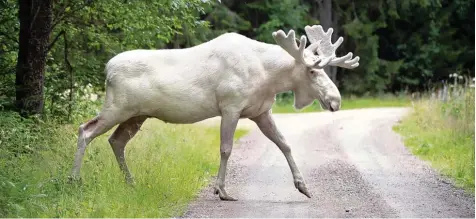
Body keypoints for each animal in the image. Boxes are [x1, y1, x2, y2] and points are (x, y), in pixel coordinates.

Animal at [70, 24, 358, 200]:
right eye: (312, 71)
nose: (335, 100)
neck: (269, 77)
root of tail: (107, 68)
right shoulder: (230, 106)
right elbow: (226, 148)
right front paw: (222, 190)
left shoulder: (261, 111)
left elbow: (285, 144)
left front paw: (303, 186)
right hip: (117, 107)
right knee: (85, 130)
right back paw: (75, 180)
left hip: (136, 115)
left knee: (116, 141)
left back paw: (131, 183)